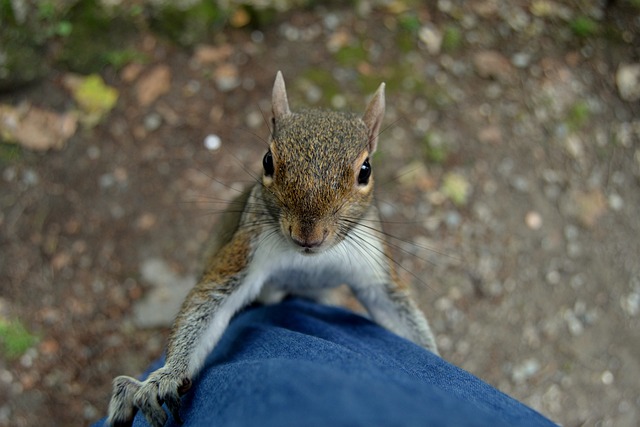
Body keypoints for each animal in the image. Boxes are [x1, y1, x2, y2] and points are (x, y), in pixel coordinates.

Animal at [107, 71, 438, 427]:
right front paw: (166, 377)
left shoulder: (372, 265)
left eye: (366, 170)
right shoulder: (247, 247)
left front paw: (432, 355)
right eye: (267, 161)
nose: (309, 235)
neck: (310, 260)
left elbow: (394, 309)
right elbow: (211, 300)